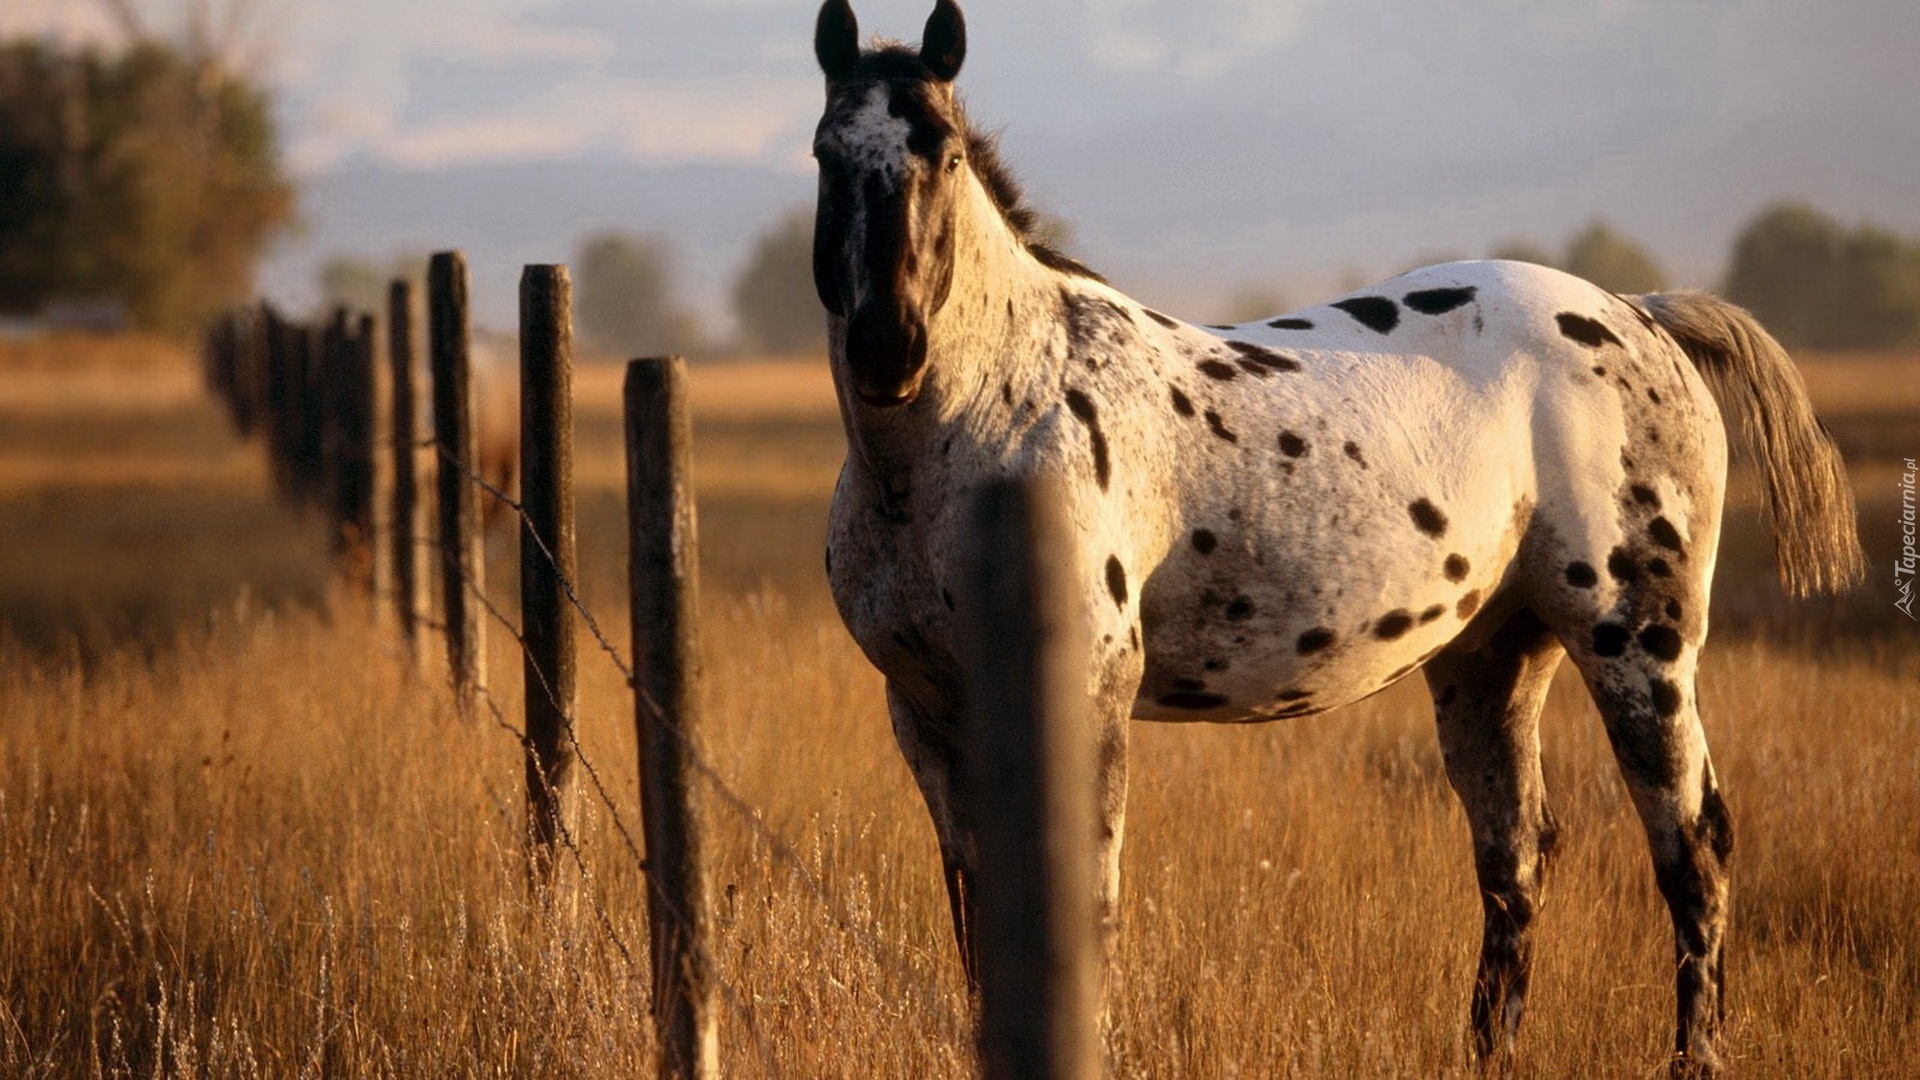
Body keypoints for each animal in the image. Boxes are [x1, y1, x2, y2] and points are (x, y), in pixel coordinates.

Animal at [806, 4, 1858, 1068]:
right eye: (825, 153)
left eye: (941, 153)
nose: (888, 348)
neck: (993, 417)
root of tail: (1644, 315)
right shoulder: (927, 711)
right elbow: (975, 913)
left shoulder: (1087, 694)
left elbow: (1084, 903)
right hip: (1494, 655)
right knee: (1517, 858)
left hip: (1639, 645)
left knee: (1693, 848)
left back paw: (1696, 1055)